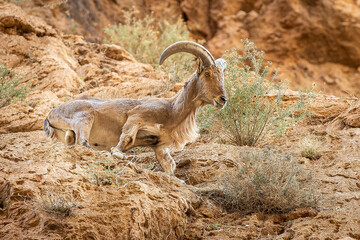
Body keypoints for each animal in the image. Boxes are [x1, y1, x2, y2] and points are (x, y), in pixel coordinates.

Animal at [43, 41, 226, 176]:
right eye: (207, 73)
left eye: (222, 75)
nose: (222, 99)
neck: (172, 110)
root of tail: (51, 114)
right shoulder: (136, 116)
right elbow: (126, 139)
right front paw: (116, 153)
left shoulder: (160, 146)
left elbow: (169, 164)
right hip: (85, 117)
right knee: (82, 142)